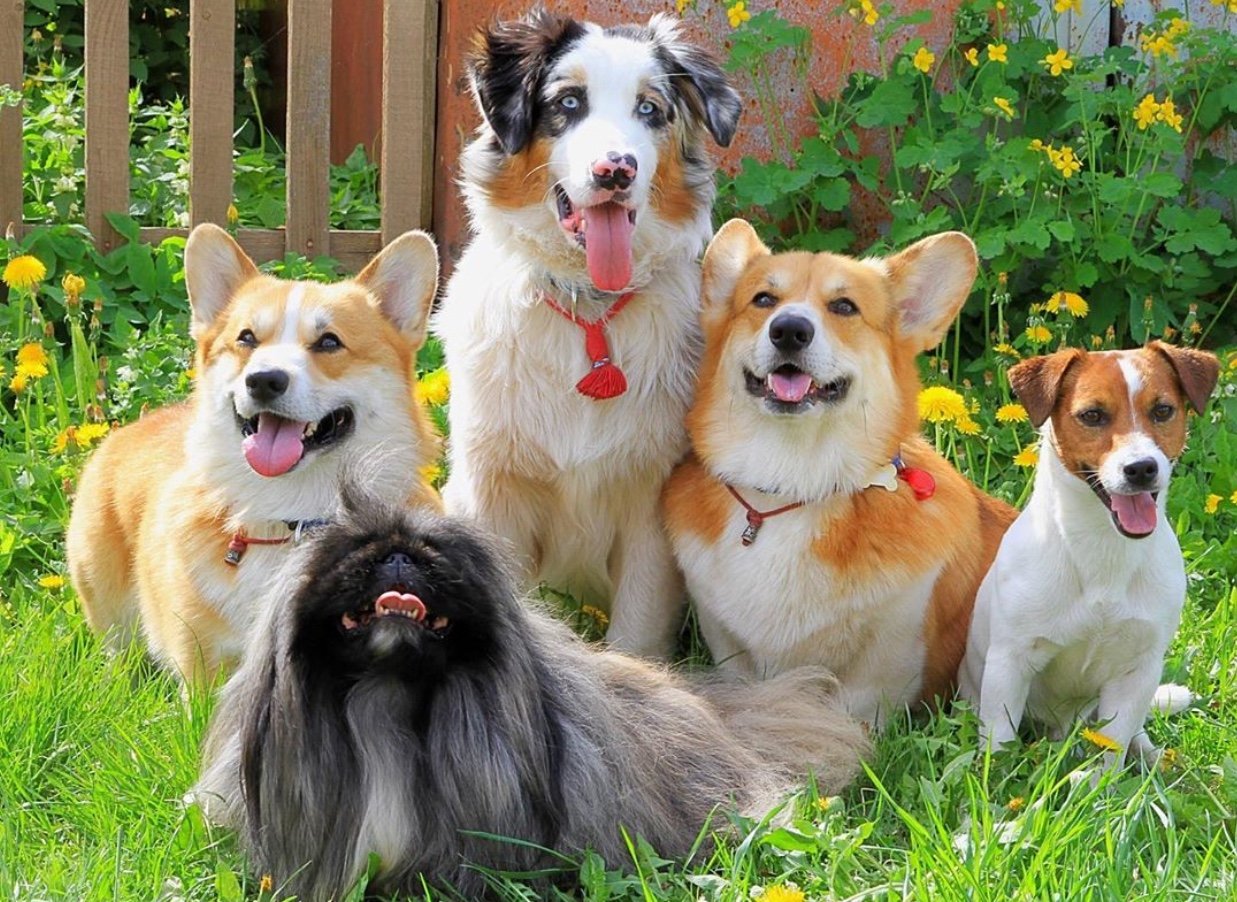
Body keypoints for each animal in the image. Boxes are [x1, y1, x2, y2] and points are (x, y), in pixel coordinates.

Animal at [66, 225, 445, 682]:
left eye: (329, 342)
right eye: (246, 338)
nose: (264, 380)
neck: (291, 511)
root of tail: (127, 429)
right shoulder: (206, 666)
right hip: (106, 605)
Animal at [437, 10, 742, 658]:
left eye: (650, 109)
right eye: (569, 103)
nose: (615, 169)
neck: (588, 305)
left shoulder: (652, 506)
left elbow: (636, 636)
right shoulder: (493, 495)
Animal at [663, 221, 1019, 727]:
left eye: (845, 306)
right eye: (763, 299)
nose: (790, 330)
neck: (793, 483)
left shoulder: (888, 659)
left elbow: (856, 712)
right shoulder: (728, 644)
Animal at [954, 341, 1217, 762]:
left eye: (1162, 410)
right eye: (1092, 415)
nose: (1141, 468)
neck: (1104, 548)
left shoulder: (1136, 672)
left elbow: (1111, 753)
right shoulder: (1010, 662)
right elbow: (1000, 745)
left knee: (1135, 733)